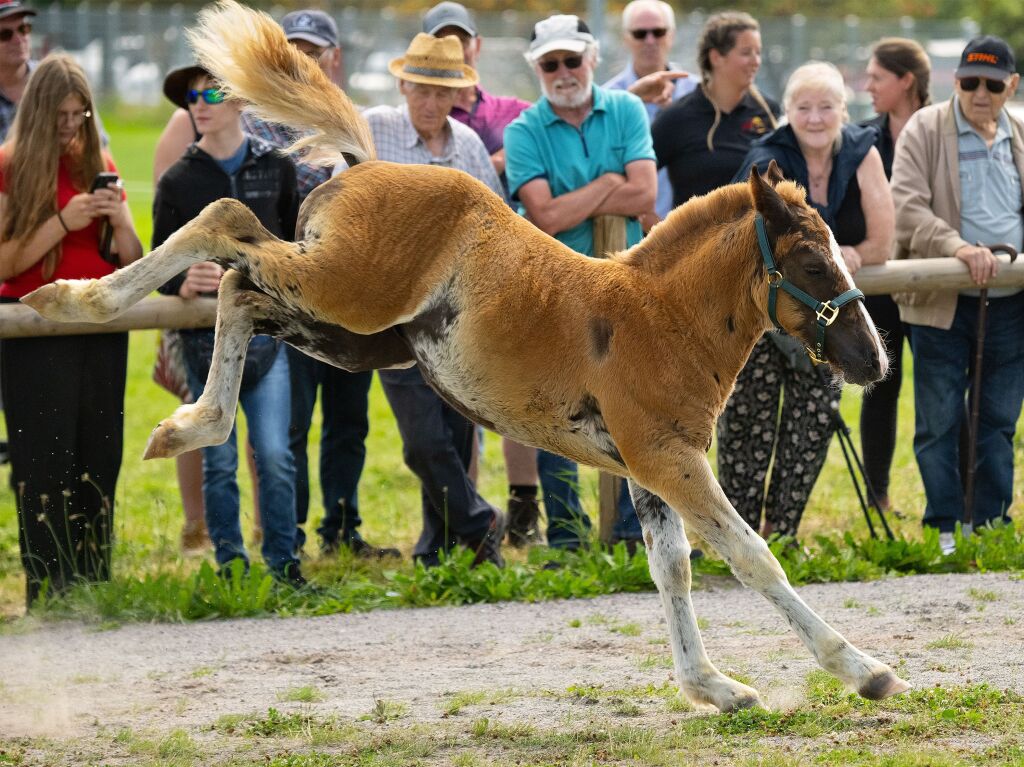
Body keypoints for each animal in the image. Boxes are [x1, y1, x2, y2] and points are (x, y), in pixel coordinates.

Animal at [22, 0, 905, 712]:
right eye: (815, 264)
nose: (874, 361)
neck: (658, 317)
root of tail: (369, 160)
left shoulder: (644, 467)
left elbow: (673, 569)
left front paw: (712, 685)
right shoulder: (672, 459)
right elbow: (753, 556)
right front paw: (862, 668)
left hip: (351, 332)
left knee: (239, 289)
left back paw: (184, 421)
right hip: (342, 291)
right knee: (225, 222)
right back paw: (75, 300)